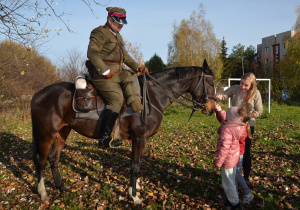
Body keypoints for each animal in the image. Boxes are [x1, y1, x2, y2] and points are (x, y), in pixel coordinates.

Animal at [31, 60, 217, 204]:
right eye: (211, 84)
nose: (212, 108)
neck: (150, 97)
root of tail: (38, 94)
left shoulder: (141, 140)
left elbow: (138, 162)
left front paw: (136, 187)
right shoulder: (139, 138)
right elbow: (135, 166)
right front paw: (134, 196)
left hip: (62, 133)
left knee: (53, 159)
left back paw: (61, 187)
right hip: (46, 135)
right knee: (41, 161)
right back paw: (43, 193)